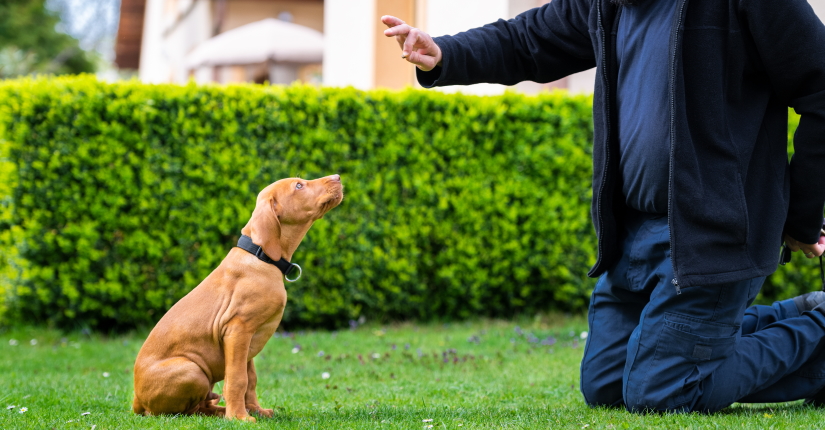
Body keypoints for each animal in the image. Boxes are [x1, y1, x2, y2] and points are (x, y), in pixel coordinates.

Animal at [131, 175, 342, 420]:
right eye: (298, 185)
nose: (337, 177)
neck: (261, 256)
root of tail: (136, 401)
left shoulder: (249, 340)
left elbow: (250, 380)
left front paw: (255, 410)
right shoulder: (237, 330)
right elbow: (237, 379)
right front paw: (239, 417)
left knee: (202, 407)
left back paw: (222, 409)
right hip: (191, 370)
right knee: (183, 412)